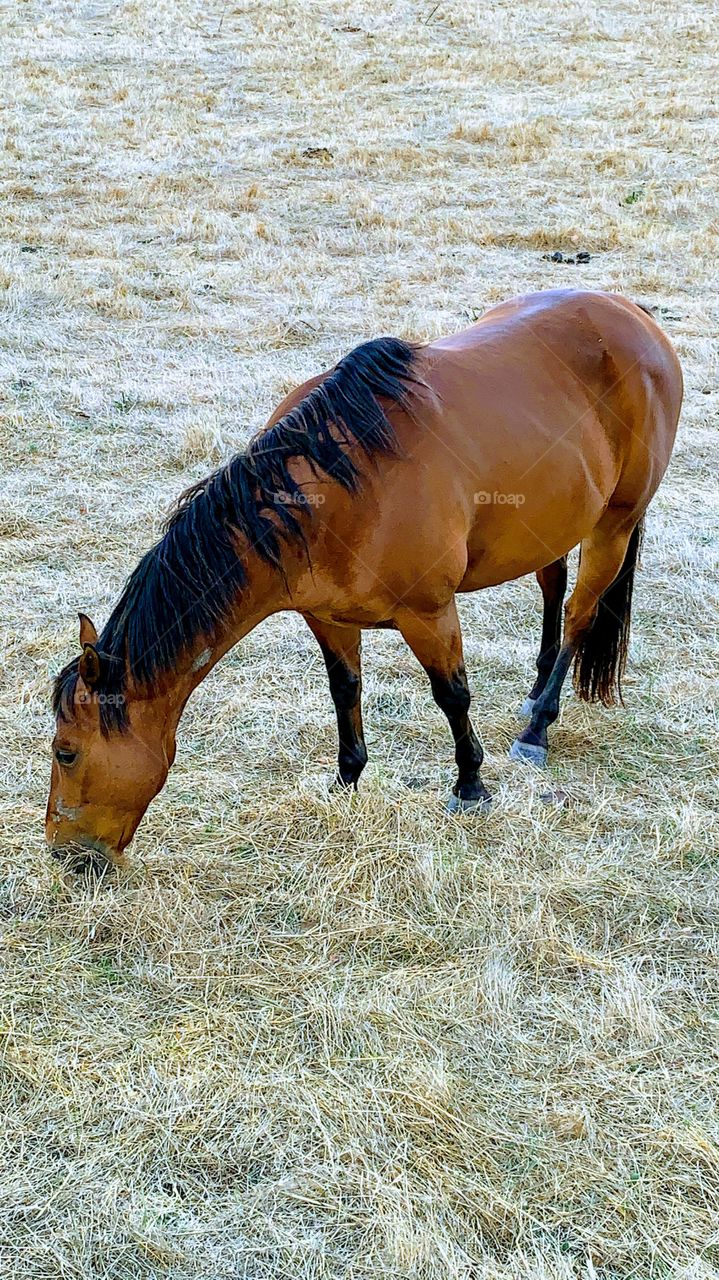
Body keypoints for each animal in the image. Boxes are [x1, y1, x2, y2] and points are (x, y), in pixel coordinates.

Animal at [47, 289, 682, 866]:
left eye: (66, 752)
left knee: (580, 613)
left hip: (614, 523)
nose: (63, 853)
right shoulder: (328, 617)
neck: (338, 493)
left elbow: (452, 694)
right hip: (551, 522)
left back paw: (537, 728)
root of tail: (633, 316)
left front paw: (470, 786)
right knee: (552, 587)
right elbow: (345, 690)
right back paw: (534, 689)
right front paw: (347, 779)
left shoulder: (429, 613)